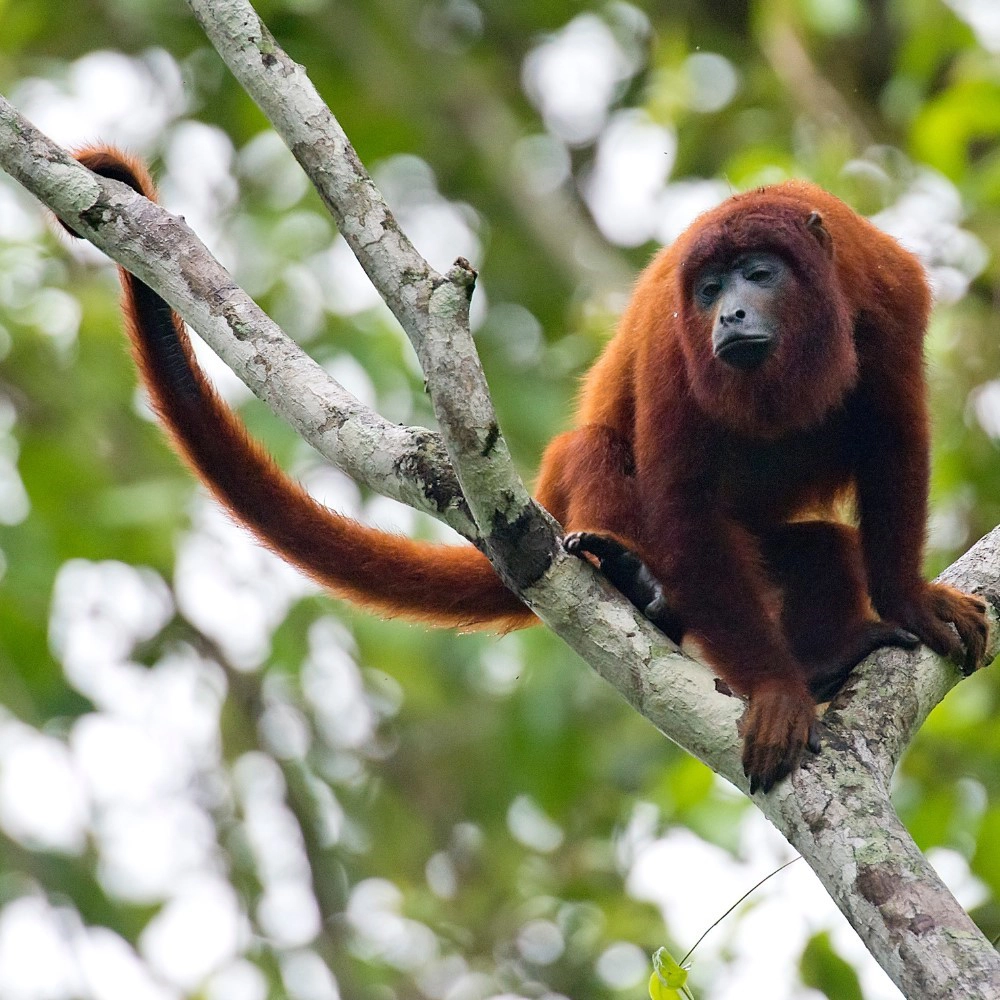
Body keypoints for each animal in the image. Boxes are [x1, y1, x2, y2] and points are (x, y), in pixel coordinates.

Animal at [66, 148, 988, 792]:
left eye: (759, 275)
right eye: (708, 290)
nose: (729, 313)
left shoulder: (890, 294)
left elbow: (897, 443)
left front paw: (908, 602)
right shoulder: (670, 342)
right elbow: (679, 493)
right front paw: (776, 692)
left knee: (825, 548)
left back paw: (827, 652)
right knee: (597, 455)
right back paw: (635, 583)